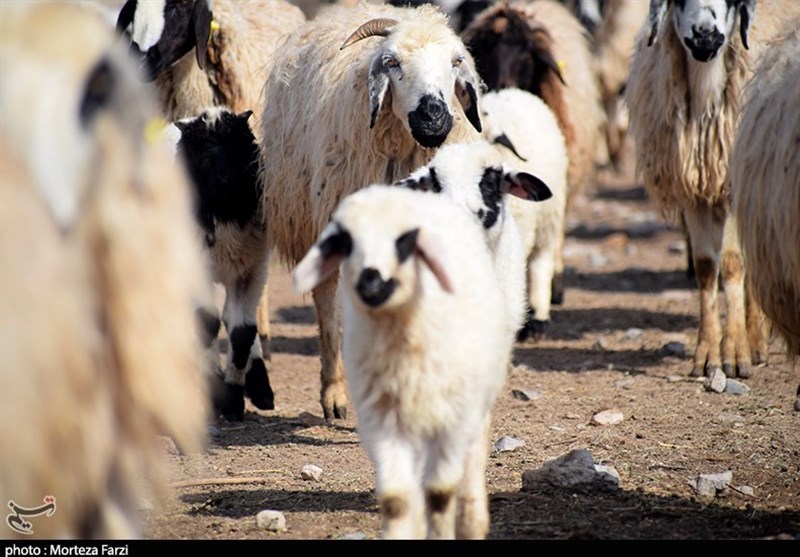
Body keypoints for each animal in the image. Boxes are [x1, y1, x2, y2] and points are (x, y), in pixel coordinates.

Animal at [167, 106, 273, 421]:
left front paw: (234, 399)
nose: (223, 176)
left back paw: (260, 389)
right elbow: (206, 323)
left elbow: (242, 332)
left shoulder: (253, 269)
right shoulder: (196, 270)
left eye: (234, 146)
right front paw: (216, 394)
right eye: (203, 151)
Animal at [292, 184, 511, 539]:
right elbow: (397, 499)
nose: (370, 281)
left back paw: (472, 519)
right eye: (347, 241)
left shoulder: (452, 420)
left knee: (471, 458)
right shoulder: (382, 423)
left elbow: (440, 493)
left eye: (405, 241)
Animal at [624, 0, 788, 380]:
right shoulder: (694, 191)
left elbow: (732, 263)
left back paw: (756, 341)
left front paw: (736, 354)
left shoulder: (730, 186)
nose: (704, 36)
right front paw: (707, 355)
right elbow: (705, 267)